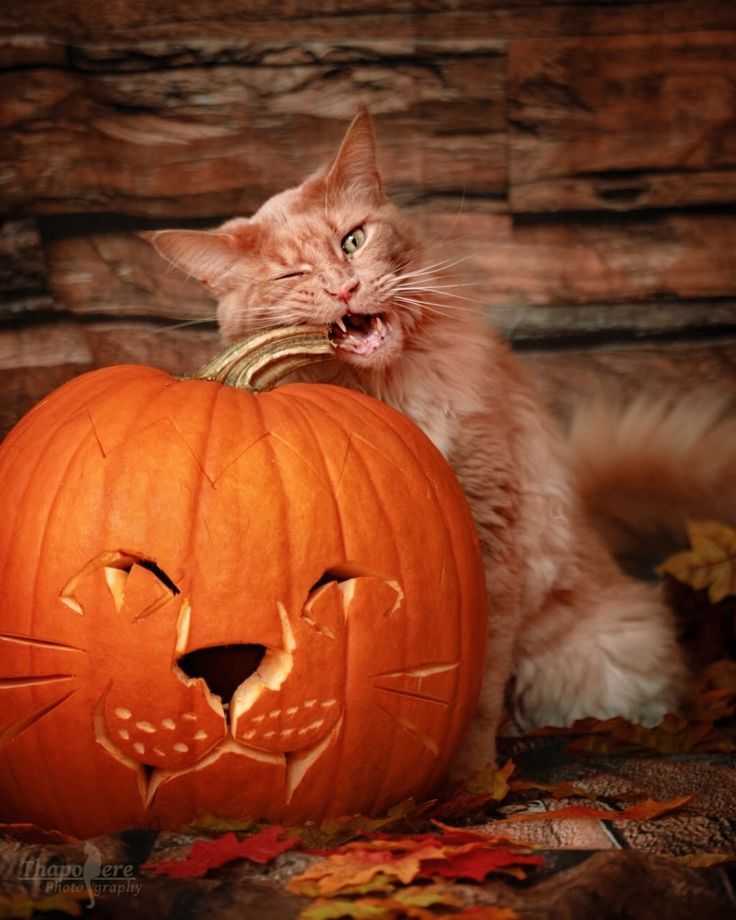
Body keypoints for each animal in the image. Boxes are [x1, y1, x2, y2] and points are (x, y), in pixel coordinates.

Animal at [145, 108, 736, 772]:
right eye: (293, 275)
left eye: (353, 241)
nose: (343, 288)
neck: (385, 392)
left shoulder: (495, 533)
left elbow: (476, 695)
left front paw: (470, 781)